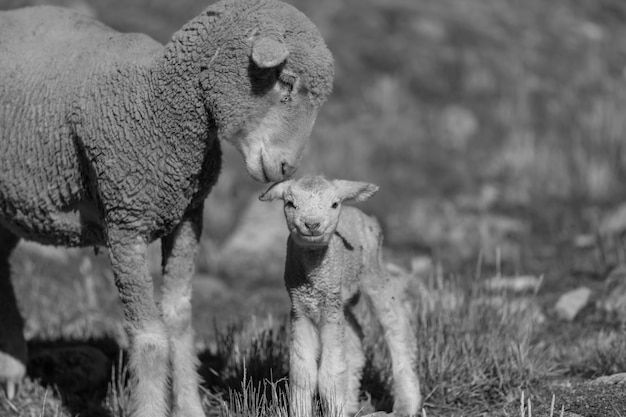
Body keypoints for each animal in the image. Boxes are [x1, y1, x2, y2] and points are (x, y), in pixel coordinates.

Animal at [0, 1, 334, 414]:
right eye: (285, 81)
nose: (288, 167)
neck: (158, 103)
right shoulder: (124, 223)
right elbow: (148, 336)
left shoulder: (188, 218)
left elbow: (178, 321)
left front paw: (189, 406)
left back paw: (10, 366)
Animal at [258, 176, 420, 416]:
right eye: (290, 204)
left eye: (334, 204)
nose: (312, 224)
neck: (314, 281)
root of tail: (358, 212)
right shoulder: (300, 309)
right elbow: (302, 373)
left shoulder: (330, 311)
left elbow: (330, 374)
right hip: (342, 298)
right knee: (356, 339)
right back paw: (351, 404)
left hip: (373, 273)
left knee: (396, 326)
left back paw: (407, 404)